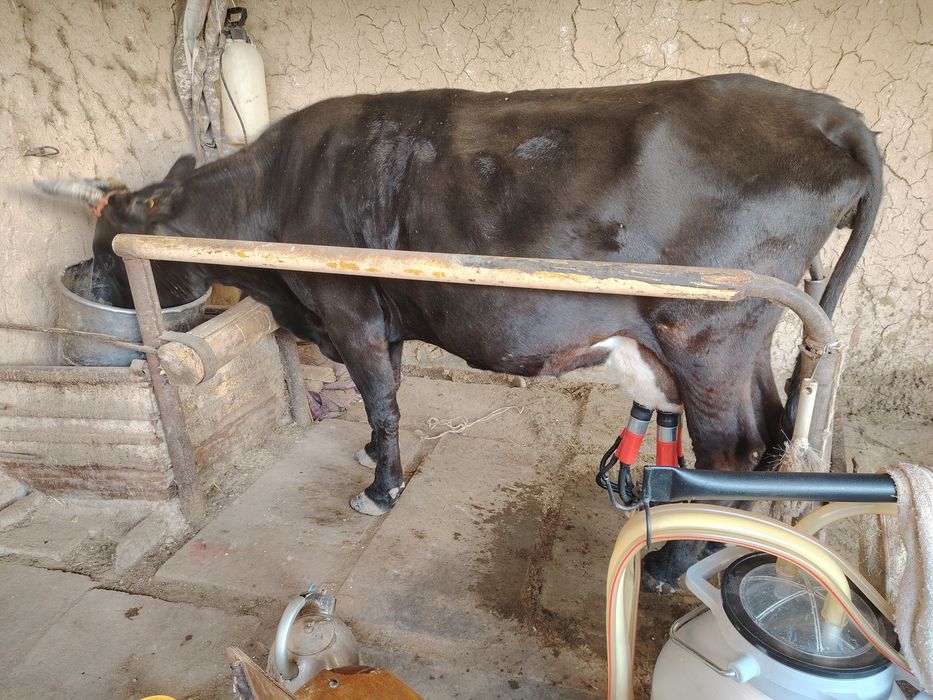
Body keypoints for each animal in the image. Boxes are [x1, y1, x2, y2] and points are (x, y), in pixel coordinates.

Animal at [39, 74, 881, 589]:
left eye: (103, 251)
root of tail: (830, 115)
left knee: (732, 446)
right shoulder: (383, 316)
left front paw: (379, 489)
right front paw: (370, 455)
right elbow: (384, 397)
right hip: (748, 335)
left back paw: (672, 566)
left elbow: (381, 398)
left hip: (705, 331)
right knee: (769, 429)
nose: (99, 288)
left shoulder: (346, 306)